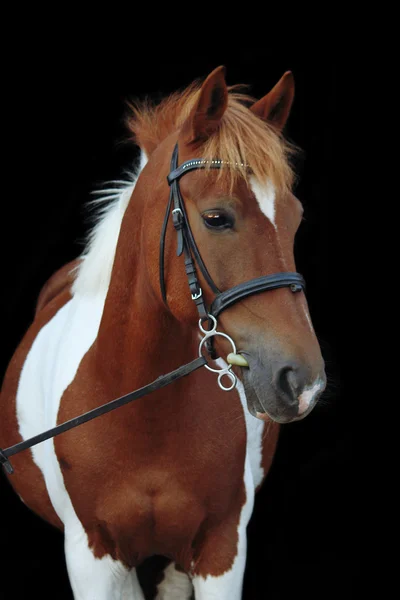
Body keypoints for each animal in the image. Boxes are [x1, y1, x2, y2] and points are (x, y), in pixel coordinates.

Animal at [0, 68, 324, 596]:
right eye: (216, 217)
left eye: (294, 219)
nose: (303, 382)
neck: (145, 419)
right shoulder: (94, 558)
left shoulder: (221, 548)